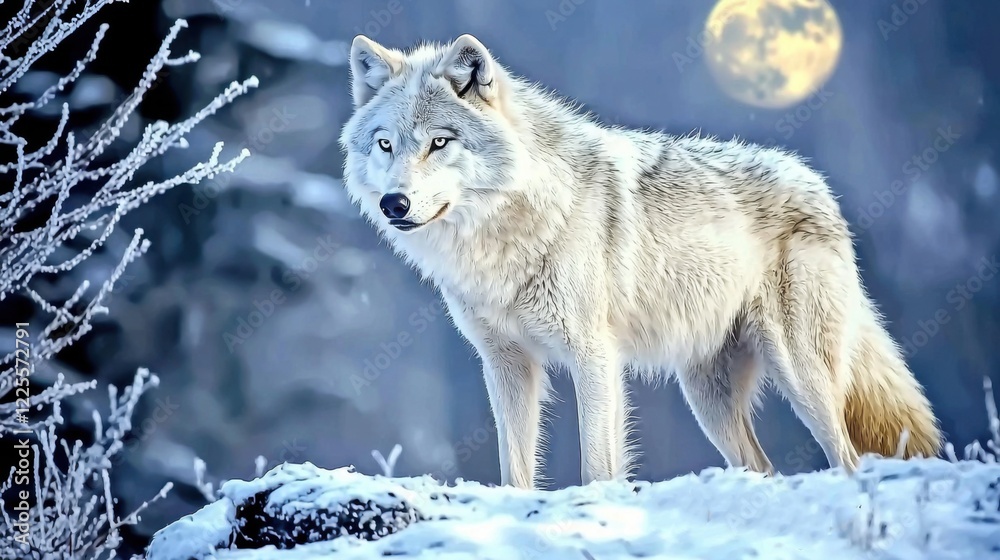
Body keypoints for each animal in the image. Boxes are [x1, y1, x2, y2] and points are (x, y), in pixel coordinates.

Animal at [338, 34, 942, 489]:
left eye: (440, 142)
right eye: (386, 144)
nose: (395, 204)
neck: (508, 233)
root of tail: (817, 183)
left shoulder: (594, 356)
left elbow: (598, 464)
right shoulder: (507, 362)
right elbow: (516, 469)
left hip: (802, 377)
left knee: (848, 458)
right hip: (708, 398)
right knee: (765, 467)